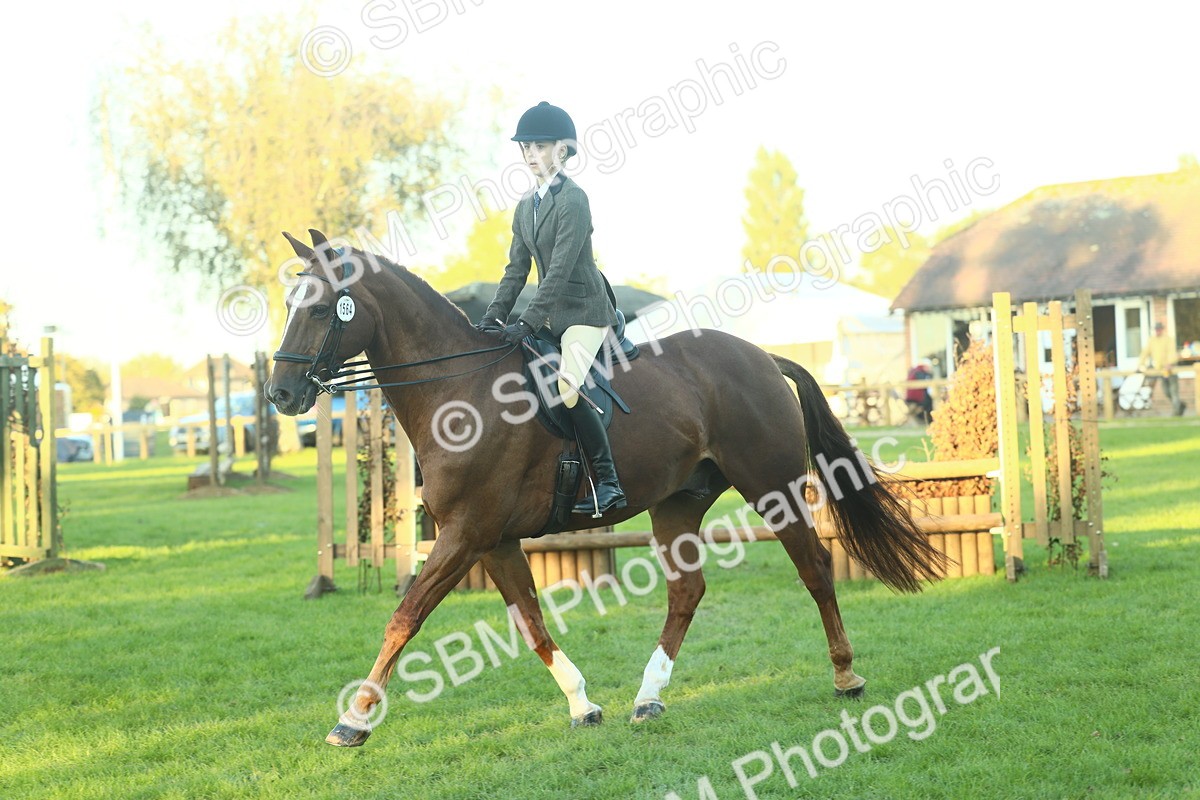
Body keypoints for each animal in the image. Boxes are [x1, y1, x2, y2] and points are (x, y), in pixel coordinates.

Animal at [265, 229, 945, 747]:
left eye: (321, 309)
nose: (280, 394)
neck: (460, 390)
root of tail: (761, 356)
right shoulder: (494, 540)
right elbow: (531, 622)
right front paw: (582, 705)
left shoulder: (465, 534)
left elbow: (404, 617)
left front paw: (353, 721)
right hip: (678, 504)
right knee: (686, 592)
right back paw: (648, 697)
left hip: (770, 489)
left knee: (816, 570)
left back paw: (846, 677)